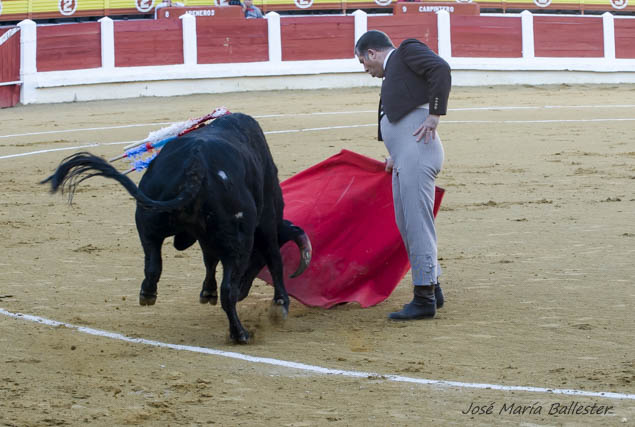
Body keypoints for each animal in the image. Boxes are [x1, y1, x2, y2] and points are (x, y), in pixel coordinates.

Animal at [41, 113, 310, 344]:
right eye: (257, 262)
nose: (245, 290)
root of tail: (196, 166)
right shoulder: (266, 222)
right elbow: (273, 258)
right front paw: (280, 304)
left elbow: (209, 259)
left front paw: (206, 293)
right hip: (240, 240)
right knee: (228, 289)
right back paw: (240, 334)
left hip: (147, 220)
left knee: (153, 264)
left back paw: (148, 294)